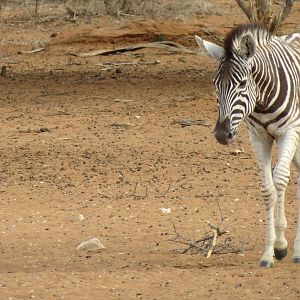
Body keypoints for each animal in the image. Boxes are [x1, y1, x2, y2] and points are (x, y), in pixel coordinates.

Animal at [196, 24, 300, 268]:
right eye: (215, 85)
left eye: (242, 83)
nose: (221, 134)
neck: (263, 100)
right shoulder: (258, 137)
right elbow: (268, 189)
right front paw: (271, 251)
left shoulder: (290, 132)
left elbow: (280, 179)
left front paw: (284, 246)